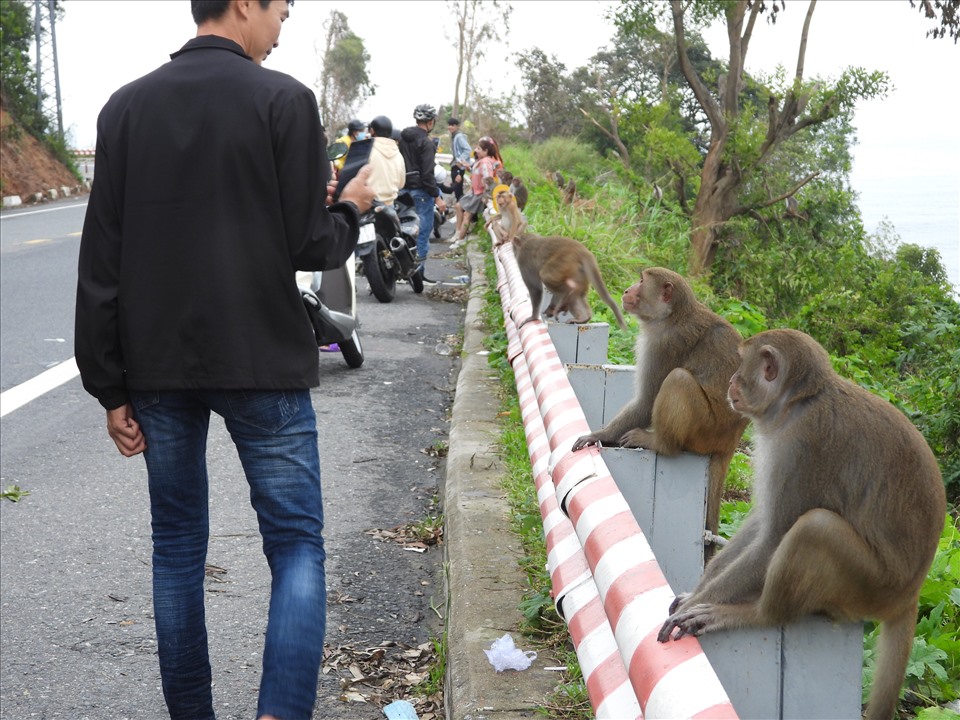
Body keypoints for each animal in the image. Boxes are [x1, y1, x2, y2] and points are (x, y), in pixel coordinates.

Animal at [572, 266, 748, 536]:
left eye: (641, 281)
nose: (626, 290)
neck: (672, 316)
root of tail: (730, 442)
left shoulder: (665, 343)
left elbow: (646, 402)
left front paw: (599, 435)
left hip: (705, 431)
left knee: (678, 379)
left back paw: (661, 443)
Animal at [660, 330, 944, 720]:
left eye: (741, 364)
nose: (731, 381)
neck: (797, 403)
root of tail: (910, 595)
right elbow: (763, 522)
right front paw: (697, 589)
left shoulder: (802, 444)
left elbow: (775, 536)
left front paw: (699, 603)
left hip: (869, 587)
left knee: (815, 527)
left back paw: (754, 614)